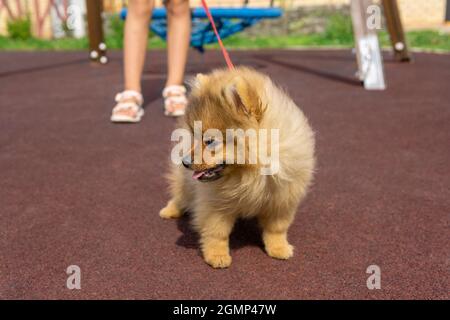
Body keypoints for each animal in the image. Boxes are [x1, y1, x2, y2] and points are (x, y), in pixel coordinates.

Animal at [160, 67, 314, 268]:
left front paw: (279, 248)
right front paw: (217, 255)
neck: (250, 175)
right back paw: (169, 211)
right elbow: (217, 233)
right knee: (180, 196)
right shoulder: (215, 205)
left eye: (210, 141)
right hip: (186, 185)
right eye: (195, 135)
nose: (185, 162)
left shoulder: (281, 200)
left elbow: (276, 229)